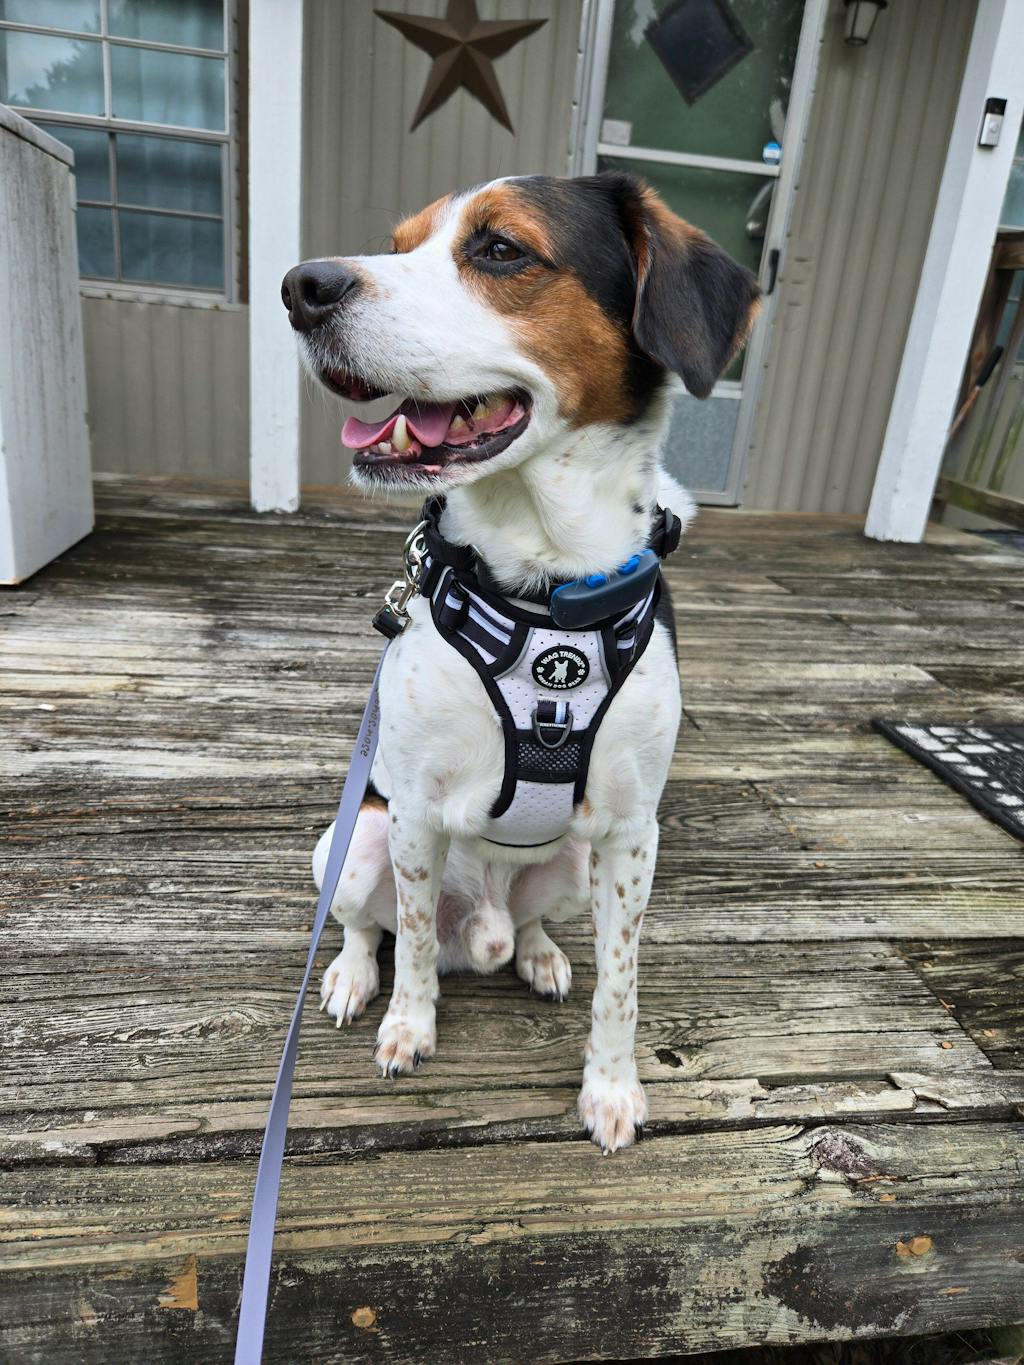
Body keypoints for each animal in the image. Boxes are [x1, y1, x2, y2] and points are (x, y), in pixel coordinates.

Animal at [281, 172, 759, 1152]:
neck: (542, 582)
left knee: (531, 921)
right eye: (400, 244)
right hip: (351, 844)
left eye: (501, 248)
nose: (301, 286)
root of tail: (487, 927)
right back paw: (353, 976)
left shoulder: (632, 834)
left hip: (576, 866)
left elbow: (622, 981)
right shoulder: (413, 811)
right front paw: (409, 1027)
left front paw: (611, 1088)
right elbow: (414, 944)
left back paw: (534, 952)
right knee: (371, 927)